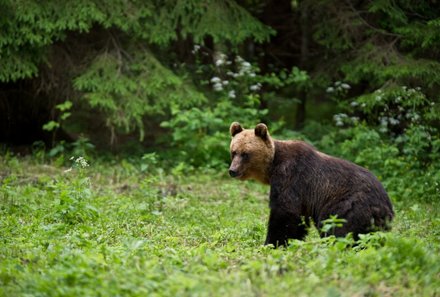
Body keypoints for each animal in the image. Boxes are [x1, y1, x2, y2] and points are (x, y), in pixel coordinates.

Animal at [229, 121, 394, 246]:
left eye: (245, 154)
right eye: (233, 152)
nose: (232, 170)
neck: (272, 167)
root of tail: (387, 204)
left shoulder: (290, 177)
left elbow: (284, 213)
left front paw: (271, 243)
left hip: (349, 204)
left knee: (339, 229)